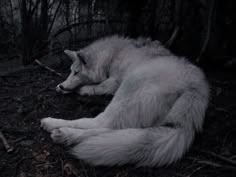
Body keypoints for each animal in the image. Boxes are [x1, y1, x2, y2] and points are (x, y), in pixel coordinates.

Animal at [40, 35, 208, 167]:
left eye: (76, 72)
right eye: (70, 72)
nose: (63, 85)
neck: (114, 55)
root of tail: (193, 89)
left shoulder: (114, 82)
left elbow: (99, 85)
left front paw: (83, 89)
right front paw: (61, 87)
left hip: (126, 93)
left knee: (100, 123)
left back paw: (58, 129)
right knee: (113, 130)